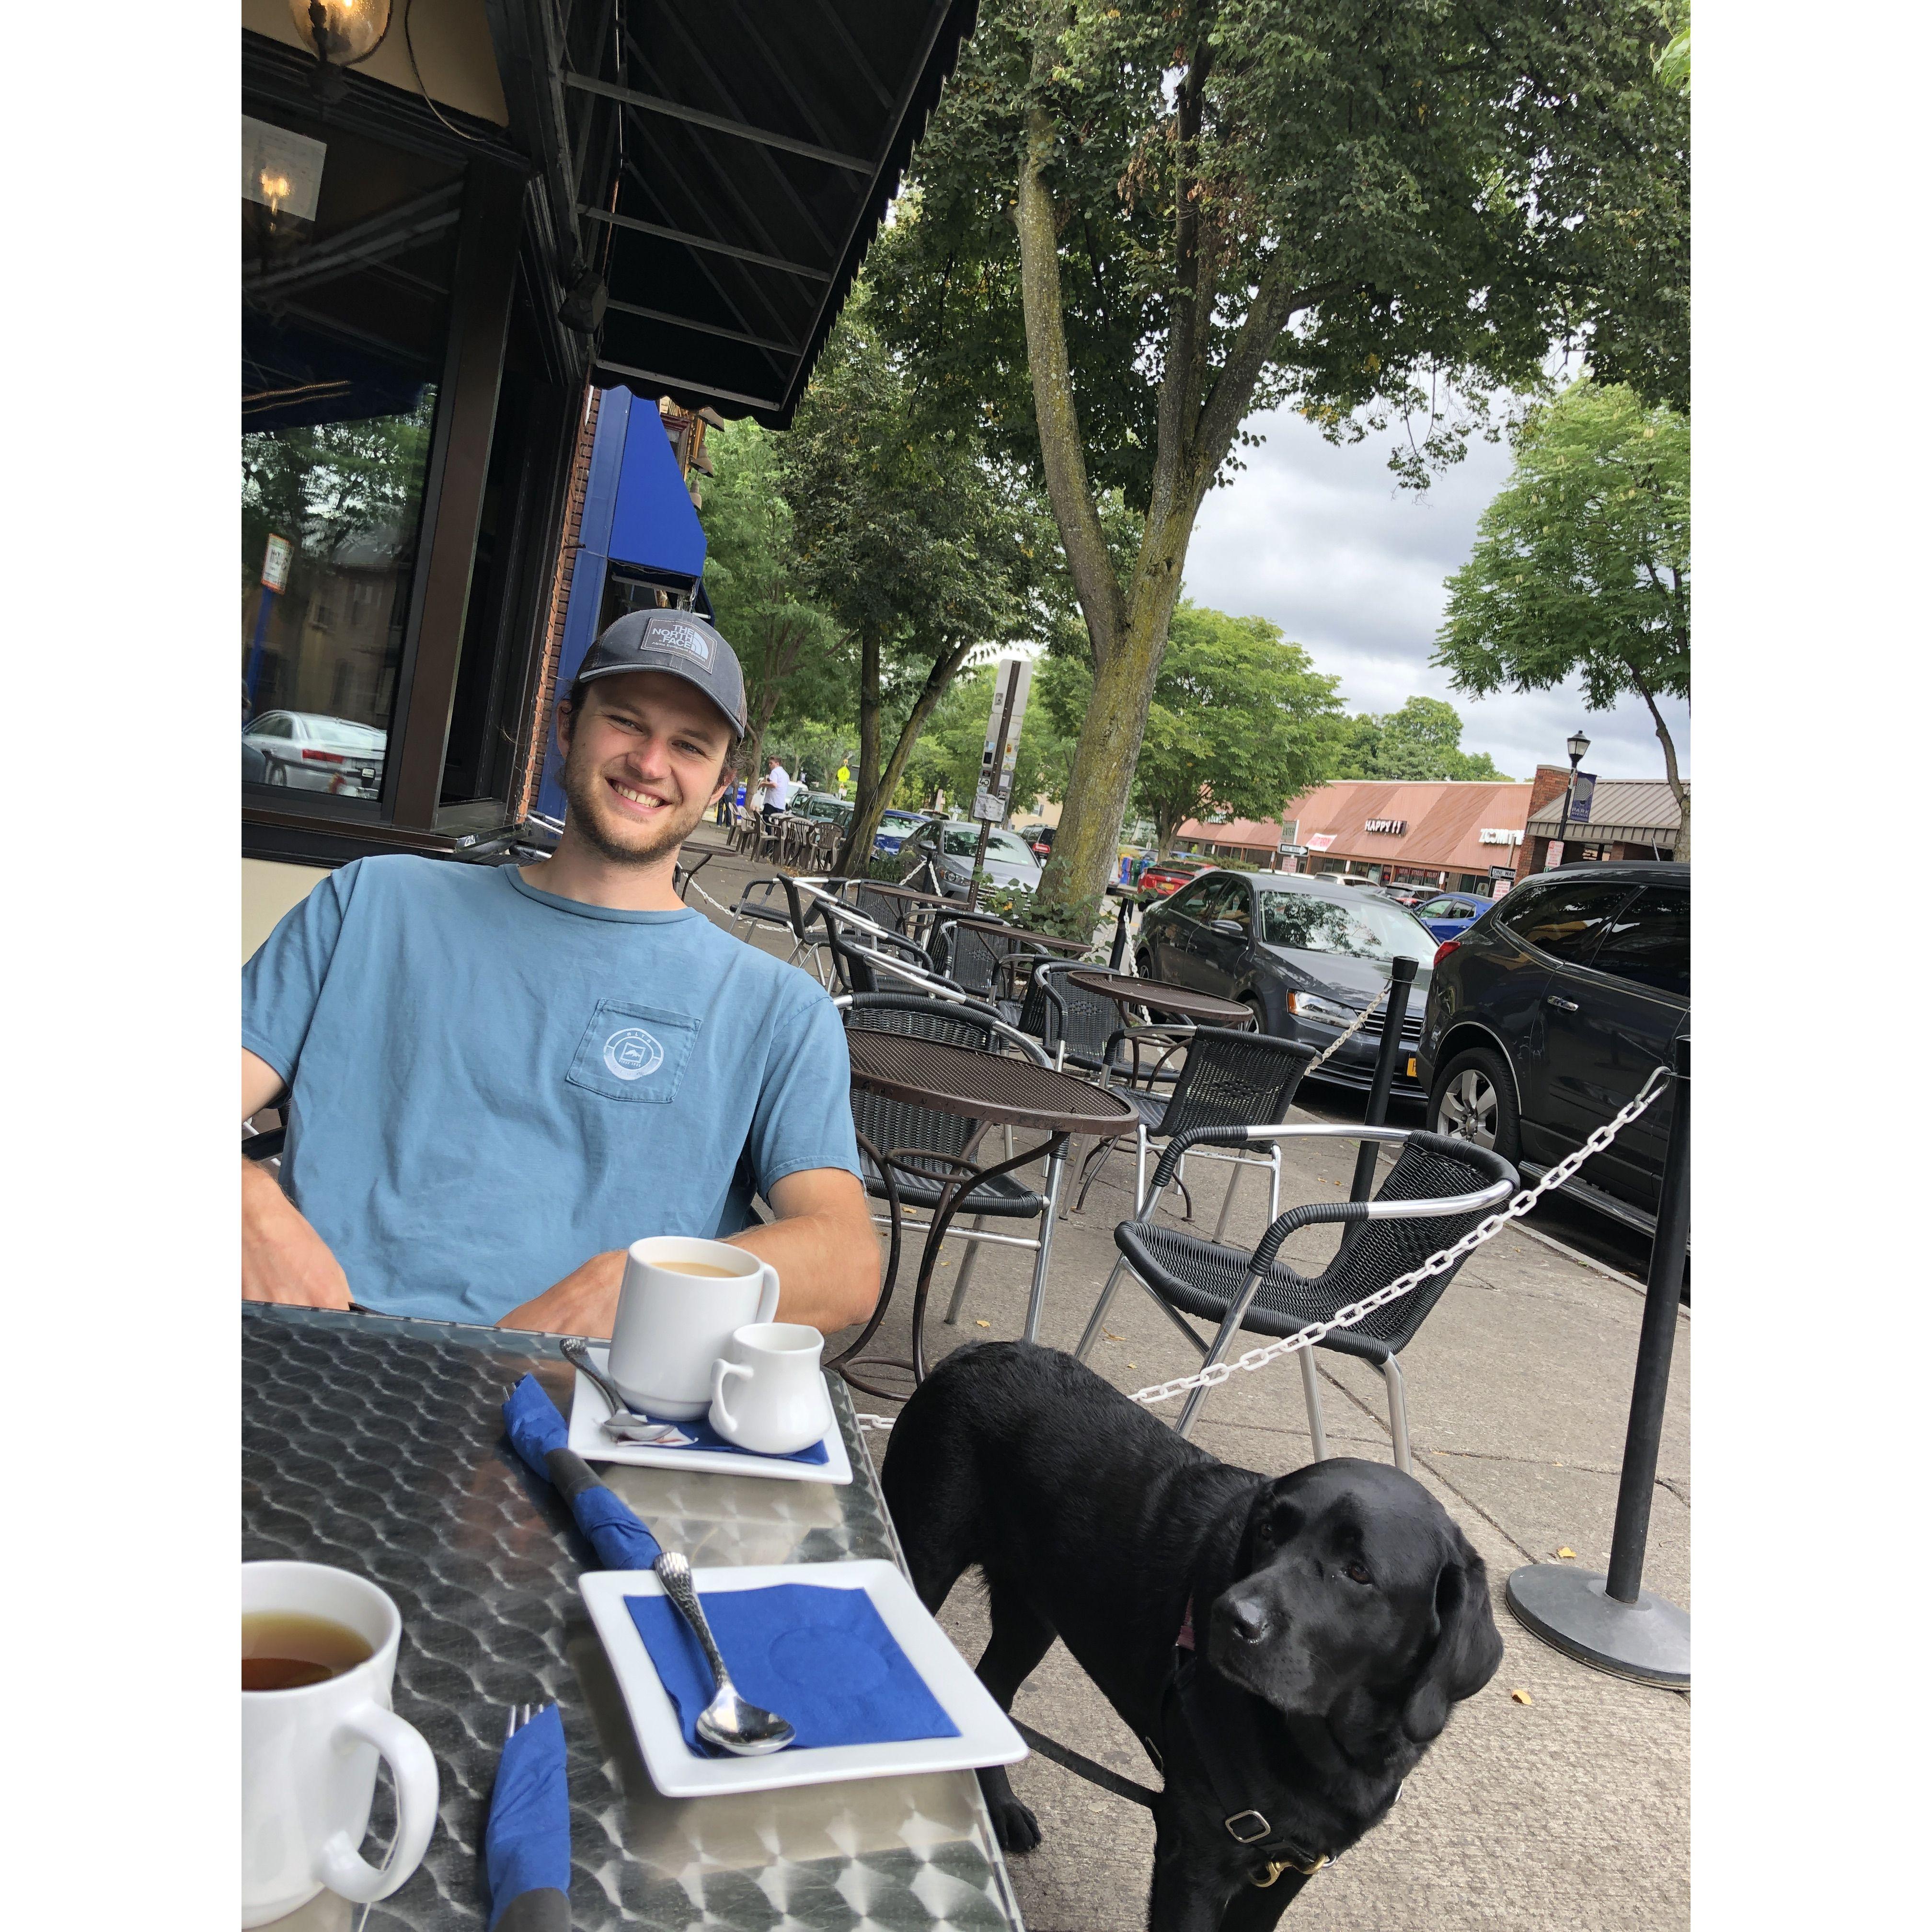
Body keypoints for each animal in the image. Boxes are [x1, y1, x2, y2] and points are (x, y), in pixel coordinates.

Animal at [885, 1345, 1499, 1932]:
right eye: (1268, 1531)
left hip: (1031, 1618)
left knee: (992, 1688)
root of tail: (969, 1353)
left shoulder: (1288, 1870)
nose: (1230, 1618)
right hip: (923, 1560)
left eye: (1358, 1571)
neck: (1328, 1745)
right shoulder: (1196, 1856)